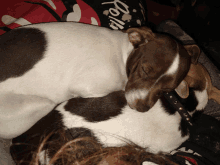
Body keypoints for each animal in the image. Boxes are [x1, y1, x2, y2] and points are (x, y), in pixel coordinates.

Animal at [0, 21, 199, 138]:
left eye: (167, 90)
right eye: (144, 70)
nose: (141, 109)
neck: (122, 54)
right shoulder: (86, 86)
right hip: (43, 104)